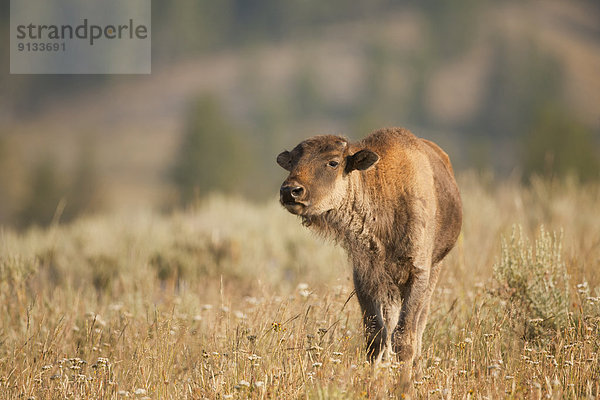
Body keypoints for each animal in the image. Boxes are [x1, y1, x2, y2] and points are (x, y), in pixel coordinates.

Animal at [278, 128, 464, 382]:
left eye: (333, 162)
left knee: (419, 326)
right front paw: (372, 380)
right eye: (292, 162)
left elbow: (405, 338)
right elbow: (376, 337)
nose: (290, 191)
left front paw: (403, 385)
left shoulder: (418, 274)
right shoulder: (366, 277)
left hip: (436, 268)